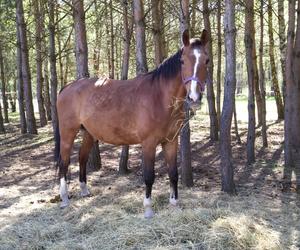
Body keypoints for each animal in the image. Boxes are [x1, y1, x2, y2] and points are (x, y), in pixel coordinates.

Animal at [54, 28, 209, 217]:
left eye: (207, 60)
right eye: (182, 61)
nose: (194, 98)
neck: (159, 97)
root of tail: (67, 87)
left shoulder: (171, 142)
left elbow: (173, 173)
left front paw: (174, 204)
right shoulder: (149, 143)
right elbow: (149, 175)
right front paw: (148, 209)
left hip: (89, 134)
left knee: (82, 158)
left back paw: (84, 191)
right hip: (68, 133)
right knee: (64, 162)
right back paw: (64, 198)